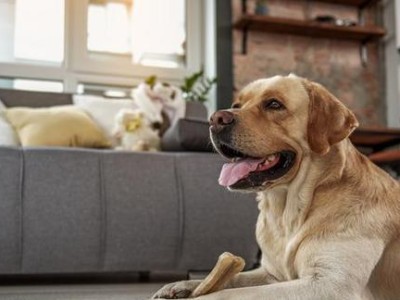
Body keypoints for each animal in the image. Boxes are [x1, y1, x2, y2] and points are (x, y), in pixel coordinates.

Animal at [152, 74, 398, 298]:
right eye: (237, 105)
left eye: (274, 104)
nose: (216, 119)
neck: (287, 212)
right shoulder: (272, 273)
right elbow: (234, 278)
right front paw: (184, 285)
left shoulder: (331, 283)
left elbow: (230, 294)